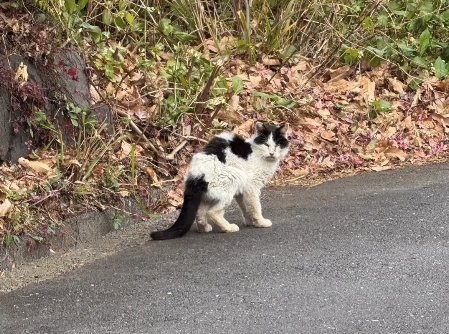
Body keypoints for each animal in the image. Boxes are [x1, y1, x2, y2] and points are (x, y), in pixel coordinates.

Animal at [149, 122, 288, 240]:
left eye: (278, 145)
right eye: (266, 145)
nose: (272, 153)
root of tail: (196, 175)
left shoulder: (242, 191)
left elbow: (245, 207)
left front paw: (250, 222)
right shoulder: (251, 187)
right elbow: (255, 207)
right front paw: (260, 222)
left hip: (208, 195)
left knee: (200, 213)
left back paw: (205, 228)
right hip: (233, 178)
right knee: (212, 213)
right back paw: (229, 228)